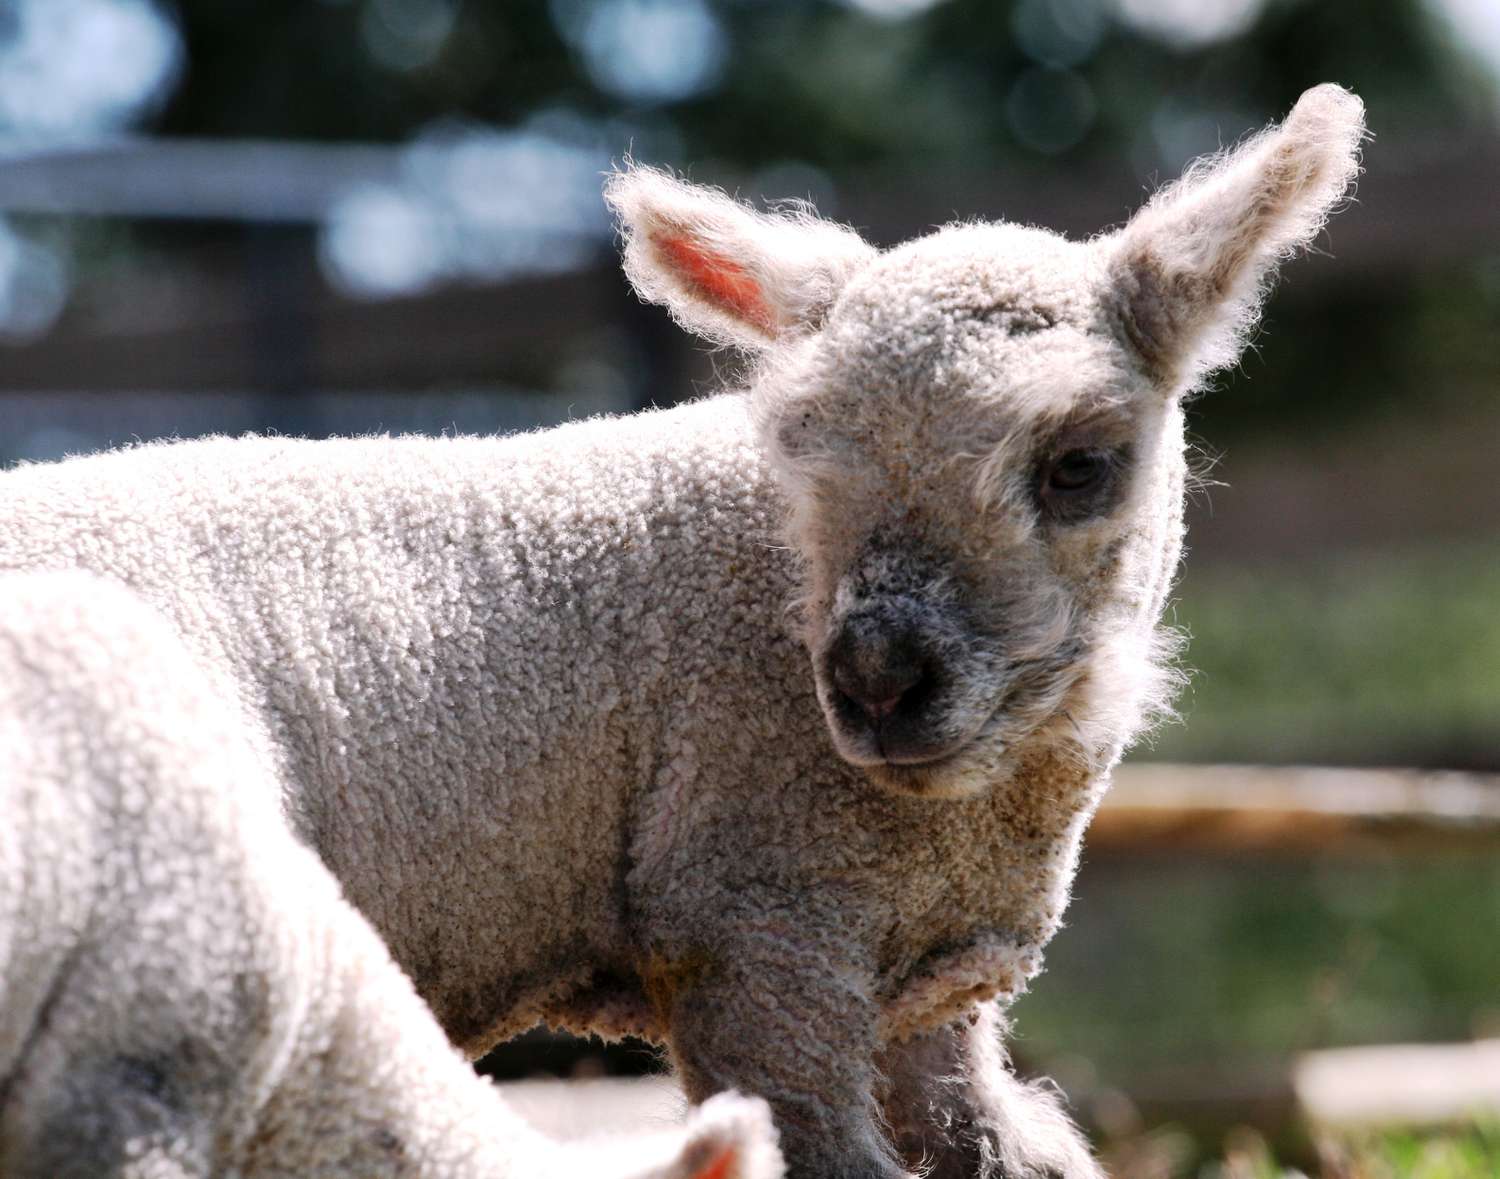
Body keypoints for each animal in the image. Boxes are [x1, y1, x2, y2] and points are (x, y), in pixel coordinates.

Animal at [0, 85, 1368, 1176]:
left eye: (1079, 466)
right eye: (798, 453)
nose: (875, 684)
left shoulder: (924, 985)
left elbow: (1003, 1152)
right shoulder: (753, 918)